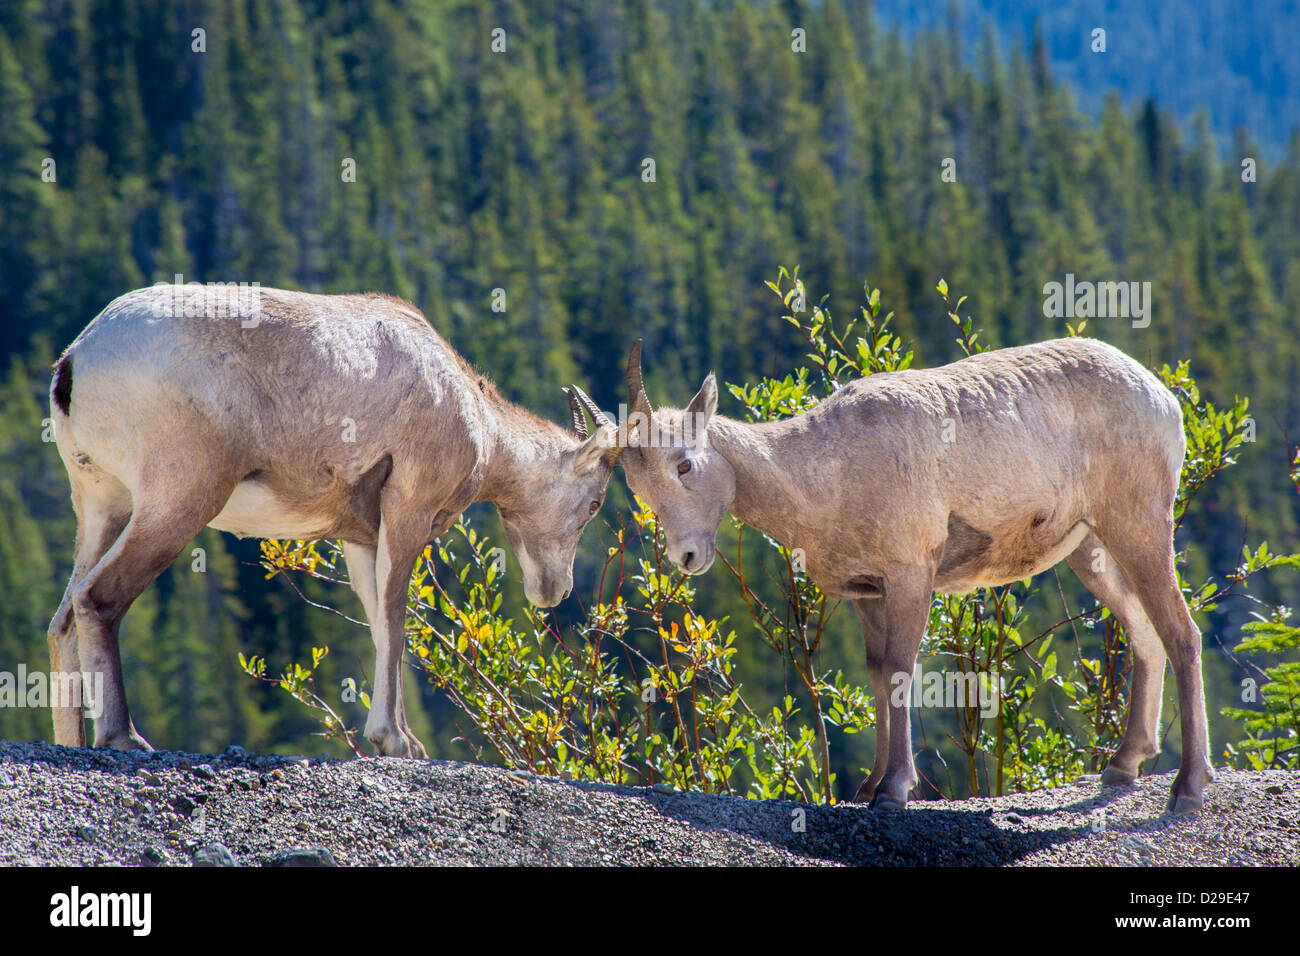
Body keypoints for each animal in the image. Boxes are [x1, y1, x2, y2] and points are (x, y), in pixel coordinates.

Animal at [49, 283, 618, 754]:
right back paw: (124, 738)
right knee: (97, 599)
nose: (554, 592)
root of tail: (75, 361)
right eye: (593, 504)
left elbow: (380, 626)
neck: (472, 417)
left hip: (103, 507)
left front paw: (404, 741)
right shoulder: (407, 514)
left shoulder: (361, 540)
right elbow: (397, 620)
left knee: (63, 621)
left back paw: (74, 740)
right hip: (177, 503)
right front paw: (396, 743)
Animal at [574, 340, 1211, 811]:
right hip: (1092, 548)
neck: (827, 475)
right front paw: (867, 787)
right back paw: (1123, 767)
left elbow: (904, 671)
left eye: (684, 465)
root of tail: (1163, 400)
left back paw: (1187, 788)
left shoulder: (910, 573)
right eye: (640, 489)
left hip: (1139, 525)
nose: (685, 558)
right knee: (1144, 631)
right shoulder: (867, 594)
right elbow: (879, 675)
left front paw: (894, 792)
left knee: (1181, 632)